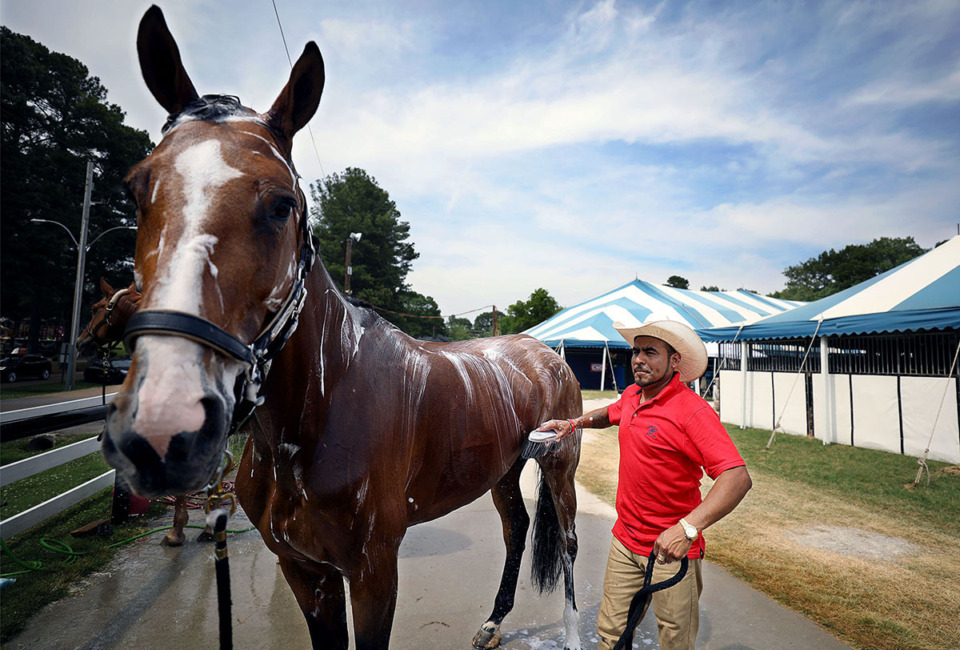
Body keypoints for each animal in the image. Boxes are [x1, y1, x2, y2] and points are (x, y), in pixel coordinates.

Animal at [106, 6, 584, 648]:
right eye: (137, 188)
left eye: (282, 203)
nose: (164, 427)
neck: (326, 405)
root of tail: (546, 353)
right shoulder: (304, 570)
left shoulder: (374, 572)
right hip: (505, 471)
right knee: (516, 530)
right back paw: (492, 622)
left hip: (559, 466)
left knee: (571, 544)